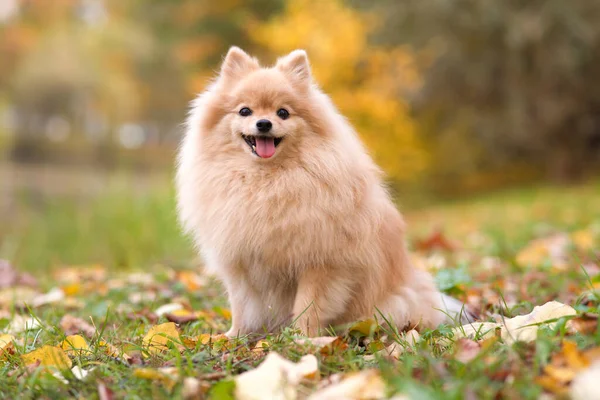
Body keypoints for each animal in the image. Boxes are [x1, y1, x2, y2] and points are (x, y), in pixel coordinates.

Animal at [176, 47, 466, 338]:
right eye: (245, 111)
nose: (264, 123)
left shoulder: (323, 263)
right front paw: (234, 337)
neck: (267, 180)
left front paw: (303, 339)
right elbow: (241, 305)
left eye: (283, 113)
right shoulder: (240, 262)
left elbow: (308, 305)